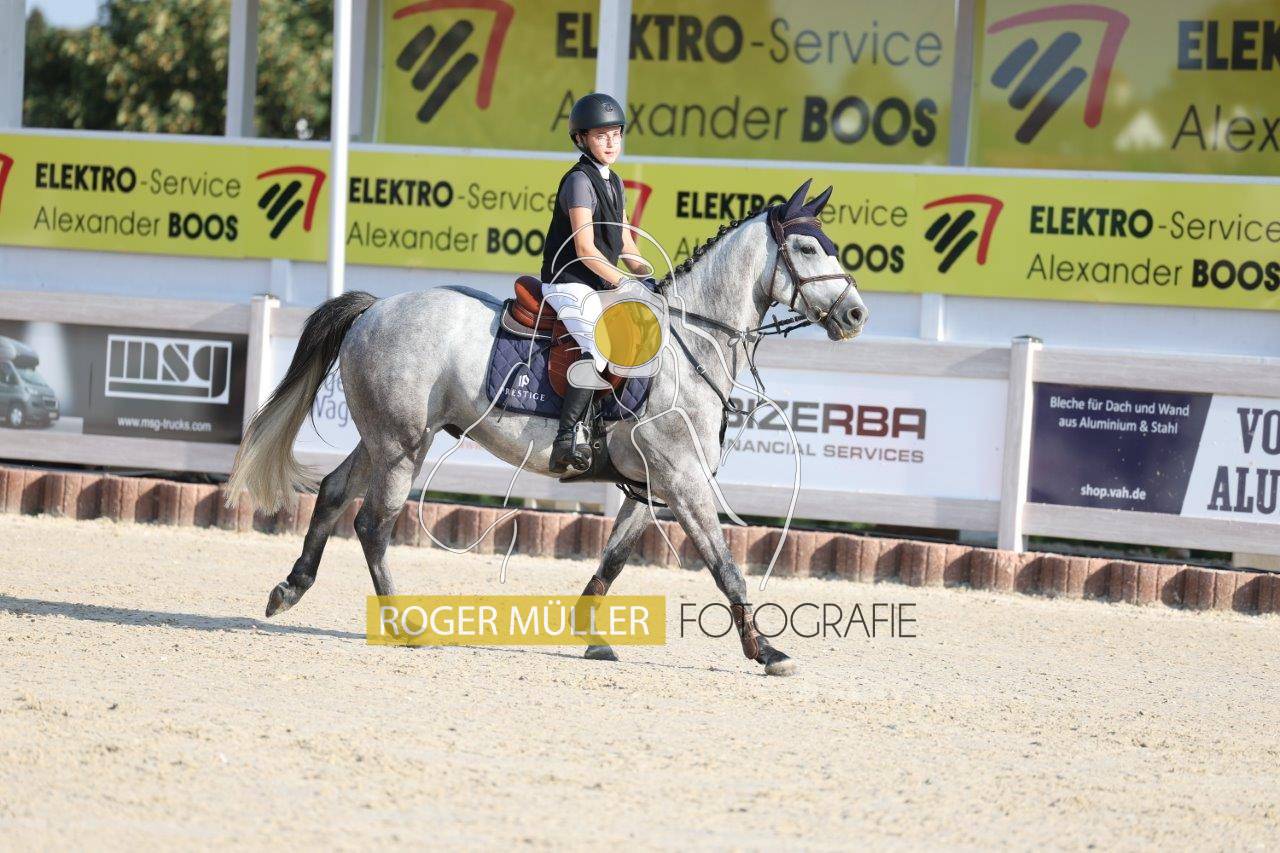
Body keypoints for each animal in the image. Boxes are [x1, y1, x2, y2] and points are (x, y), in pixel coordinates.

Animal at [226, 178, 869, 676]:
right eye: (806, 247)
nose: (857, 315)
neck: (694, 341)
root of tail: (375, 308)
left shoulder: (654, 487)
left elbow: (612, 561)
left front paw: (592, 636)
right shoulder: (683, 480)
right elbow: (726, 569)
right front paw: (767, 652)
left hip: (384, 439)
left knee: (336, 492)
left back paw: (290, 589)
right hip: (402, 446)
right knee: (372, 525)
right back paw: (403, 625)